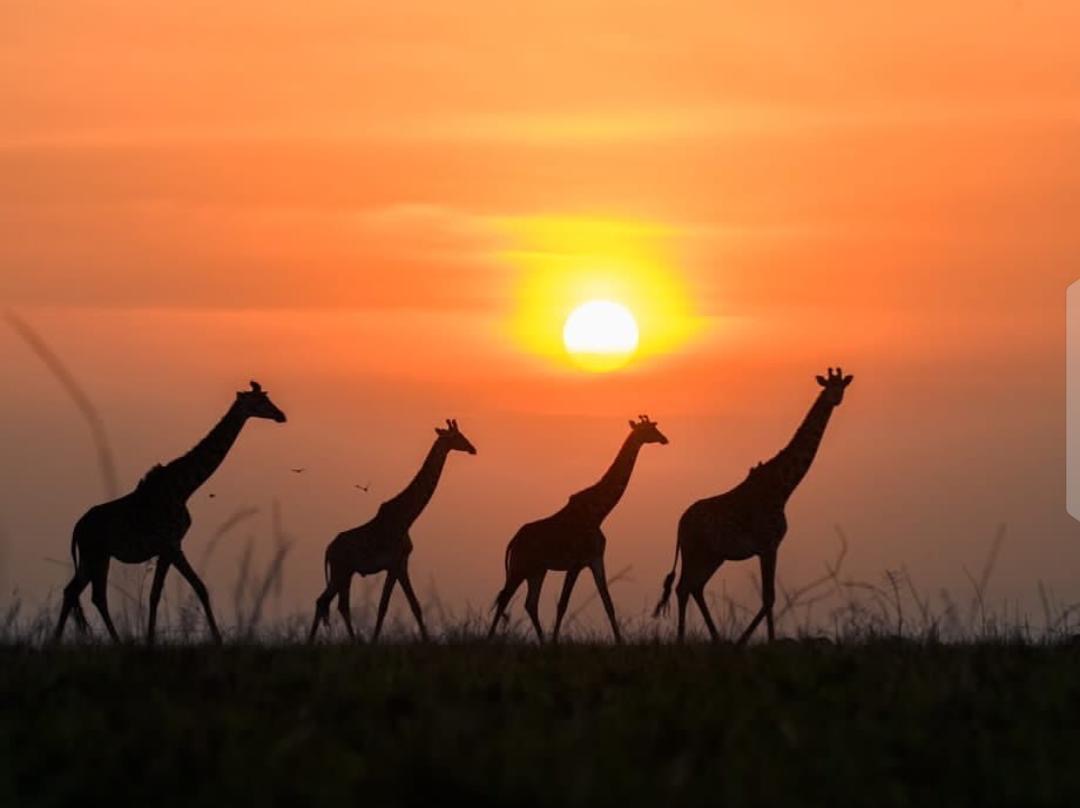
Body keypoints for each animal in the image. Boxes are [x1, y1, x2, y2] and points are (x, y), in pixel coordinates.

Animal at [53, 381, 287, 644]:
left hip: (90, 557)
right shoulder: (172, 544)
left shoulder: (167, 549)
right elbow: (199, 588)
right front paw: (216, 640)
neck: (184, 488)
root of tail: (77, 528)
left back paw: (56, 640)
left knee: (72, 590)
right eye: (260, 401)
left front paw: (151, 640)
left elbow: (157, 594)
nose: (281, 415)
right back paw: (115, 641)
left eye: (267, 398)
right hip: (97, 554)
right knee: (96, 595)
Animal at [309, 419, 477, 643]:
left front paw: (426, 640)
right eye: (457, 437)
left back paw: (351, 641)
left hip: (347, 573)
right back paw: (316, 642)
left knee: (339, 605)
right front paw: (374, 642)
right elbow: (384, 606)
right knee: (323, 601)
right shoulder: (394, 563)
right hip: (340, 570)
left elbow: (414, 605)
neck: (407, 518)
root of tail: (328, 549)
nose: (473, 449)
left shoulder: (402, 563)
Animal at [488, 415, 669, 644]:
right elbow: (563, 604)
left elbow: (608, 602)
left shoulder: (595, 559)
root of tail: (513, 541)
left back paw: (541, 641)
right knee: (504, 598)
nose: (664, 439)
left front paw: (620, 641)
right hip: (520, 567)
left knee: (530, 603)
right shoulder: (575, 563)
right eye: (650, 429)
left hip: (537, 570)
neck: (599, 513)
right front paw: (555, 642)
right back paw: (490, 639)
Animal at [654, 368, 853, 644]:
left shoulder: (767, 547)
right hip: (695, 551)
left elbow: (769, 597)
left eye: (842, 386)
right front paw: (761, 641)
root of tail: (680, 524)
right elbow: (769, 598)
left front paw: (752, 640)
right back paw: (684, 641)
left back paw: (716, 639)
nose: (836, 399)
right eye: (827, 387)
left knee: (695, 586)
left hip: (713, 555)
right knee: (684, 587)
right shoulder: (769, 545)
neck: (783, 488)